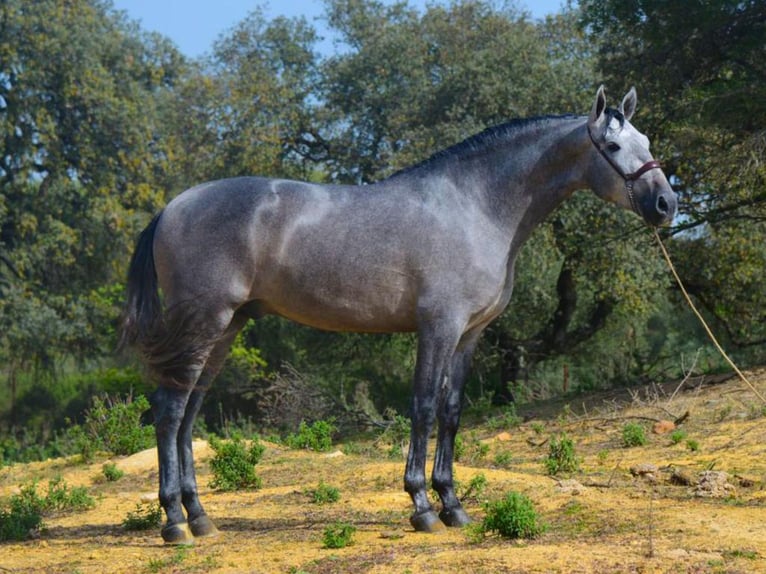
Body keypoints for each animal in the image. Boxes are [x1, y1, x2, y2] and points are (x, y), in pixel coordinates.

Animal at [121, 85, 680, 544]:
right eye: (613, 148)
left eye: (647, 139)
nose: (666, 204)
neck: (476, 205)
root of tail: (171, 208)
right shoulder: (438, 327)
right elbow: (424, 408)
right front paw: (422, 507)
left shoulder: (470, 334)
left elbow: (451, 412)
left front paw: (453, 505)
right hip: (205, 323)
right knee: (170, 409)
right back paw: (174, 523)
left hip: (227, 327)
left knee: (189, 413)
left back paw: (200, 517)